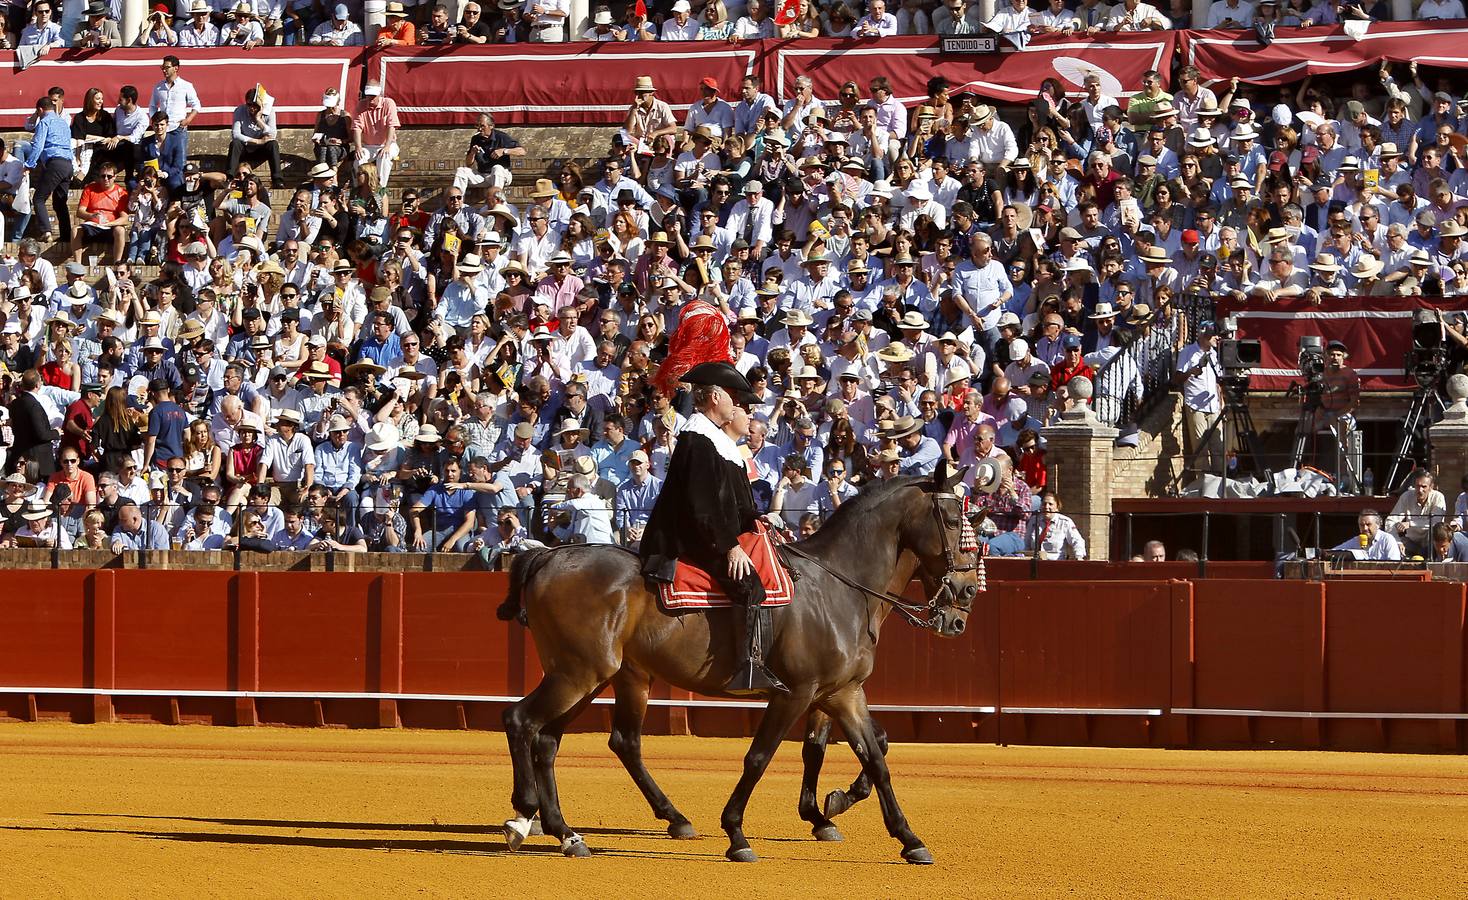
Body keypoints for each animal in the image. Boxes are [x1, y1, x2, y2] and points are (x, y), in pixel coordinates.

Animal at [499, 463, 980, 863]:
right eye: (954, 520)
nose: (966, 594)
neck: (839, 587)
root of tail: (550, 554)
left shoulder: (843, 693)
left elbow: (874, 756)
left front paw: (906, 837)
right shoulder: (797, 693)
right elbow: (760, 757)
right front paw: (737, 833)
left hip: (598, 676)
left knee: (566, 740)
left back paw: (570, 830)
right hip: (579, 674)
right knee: (522, 721)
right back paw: (526, 814)